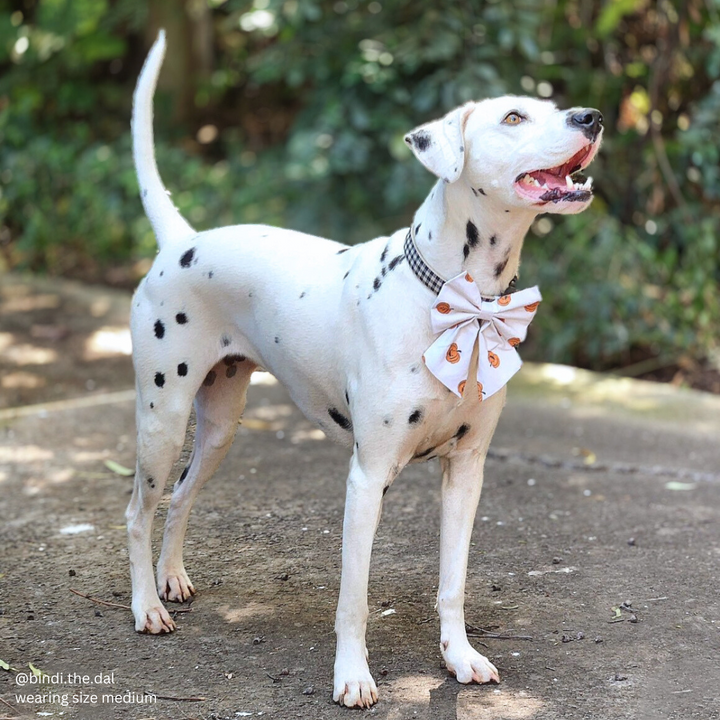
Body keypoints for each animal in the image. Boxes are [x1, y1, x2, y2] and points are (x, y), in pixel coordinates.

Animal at [126, 32, 600, 708]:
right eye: (514, 118)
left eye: (558, 106)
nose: (592, 117)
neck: (457, 299)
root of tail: (180, 242)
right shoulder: (366, 480)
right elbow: (353, 597)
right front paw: (352, 676)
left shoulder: (467, 475)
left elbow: (453, 582)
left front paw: (459, 657)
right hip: (161, 420)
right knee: (139, 511)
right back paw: (145, 606)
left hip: (217, 430)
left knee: (182, 496)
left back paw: (171, 579)